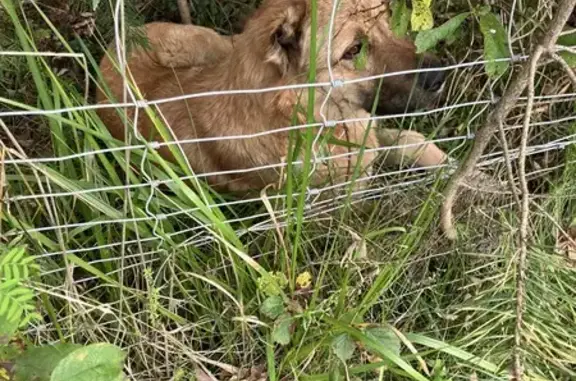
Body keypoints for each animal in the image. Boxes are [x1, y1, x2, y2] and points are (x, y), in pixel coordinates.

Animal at [97, 0, 450, 193]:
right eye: (354, 50)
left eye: (387, 23)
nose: (440, 76)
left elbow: (409, 140)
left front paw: (451, 168)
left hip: (211, 43)